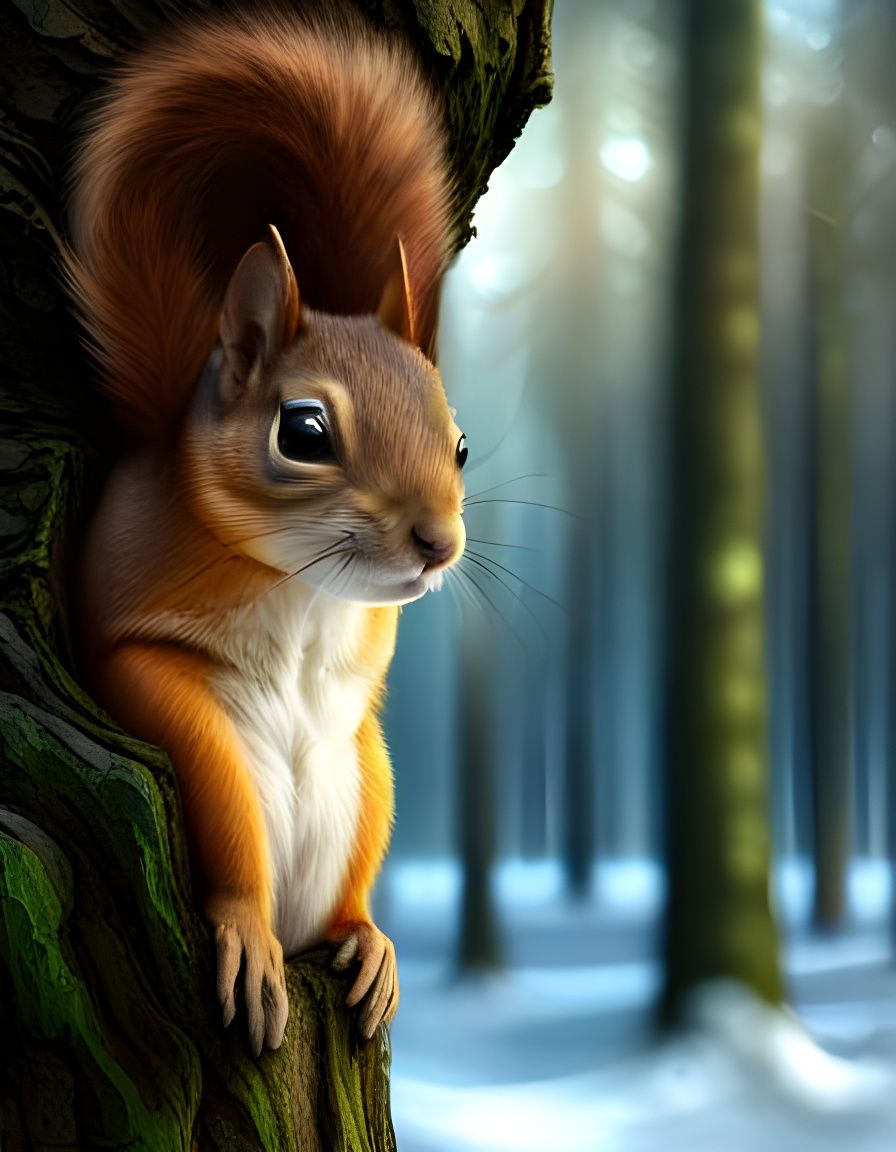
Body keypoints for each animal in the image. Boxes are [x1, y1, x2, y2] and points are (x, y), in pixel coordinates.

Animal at [64, 10, 467, 1055]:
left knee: (344, 886)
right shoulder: (139, 658)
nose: (438, 544)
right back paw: (256, 934)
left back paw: (364, 940)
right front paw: (240, 928)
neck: (302, 584)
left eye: (458, 442)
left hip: (365, 774)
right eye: (305, 433)